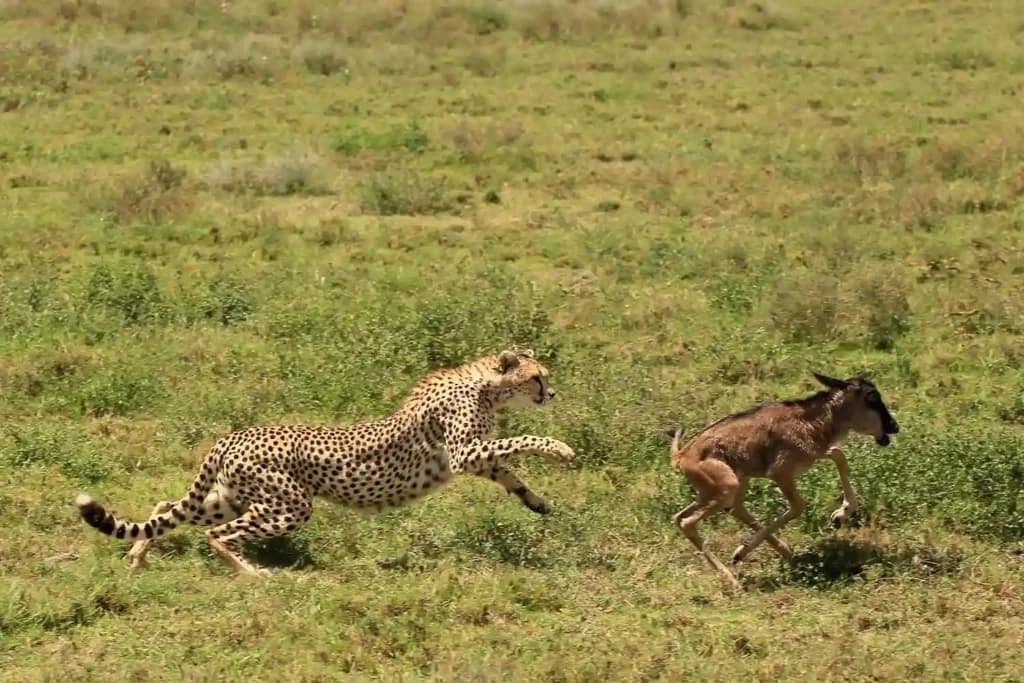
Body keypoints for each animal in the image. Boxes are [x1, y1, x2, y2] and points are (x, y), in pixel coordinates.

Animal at [668, 373, 900, 591]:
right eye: (872, 398)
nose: (894, 426)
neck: (814, 420)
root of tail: (681, 457)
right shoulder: (780, 473)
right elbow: (798, 506)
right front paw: (739, 553)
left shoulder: (815, 454)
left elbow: (839, 455)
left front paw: (840, 514)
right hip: (727, 486)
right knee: (689, 521)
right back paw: (735, 579)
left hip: (724, 487)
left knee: (688, 515)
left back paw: (783, 552)